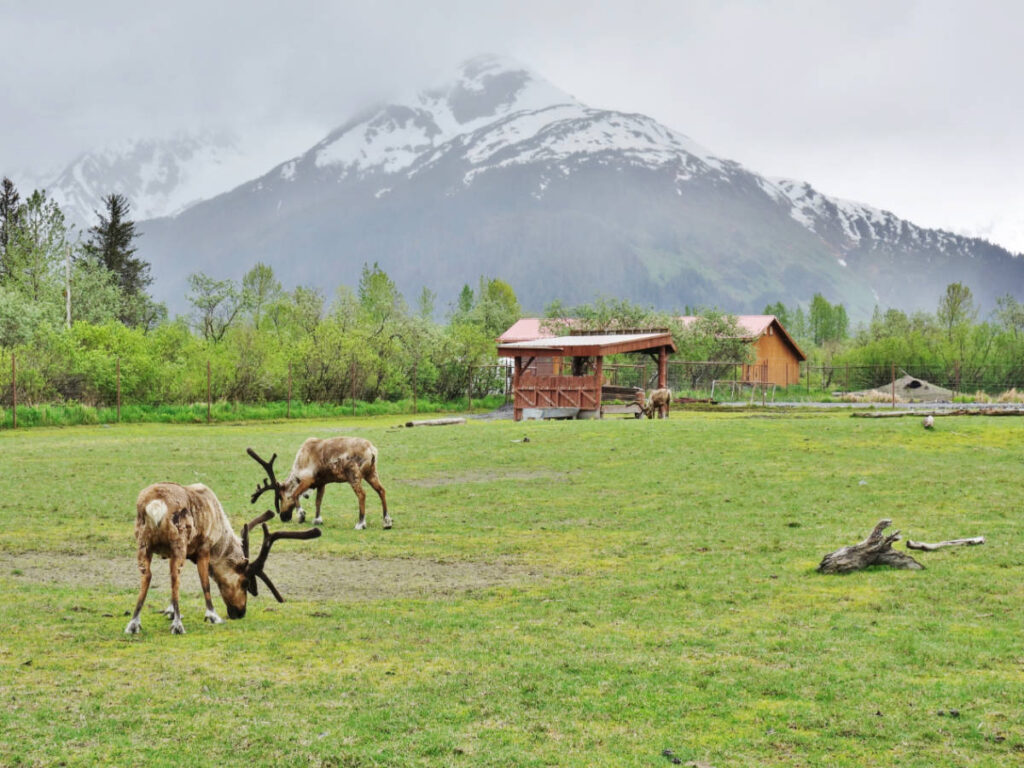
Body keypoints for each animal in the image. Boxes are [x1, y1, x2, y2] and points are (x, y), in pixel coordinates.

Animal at [124, 481, 320, 635]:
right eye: (245, 583)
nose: (240, 613)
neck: (220, 542)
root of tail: (156, 504)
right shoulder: (204, 548)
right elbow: (205, 582)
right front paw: (212, 615)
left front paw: (170, 611)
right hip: (177, 542)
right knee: (174, 576)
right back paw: (178, 625)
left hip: (143, 543)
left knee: (148, 575)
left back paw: (134, 623)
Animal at [248, 438, 391, 530]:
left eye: (281, 497)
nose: (284, 517)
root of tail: (372, 450)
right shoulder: (321, 483)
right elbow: (318, 501)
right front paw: (317, 519)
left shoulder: (307, 479)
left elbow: (295, 494)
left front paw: (301, 515)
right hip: (371, 473)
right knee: (382, 490)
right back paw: (387, 522)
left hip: (354, 474)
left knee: (362, 494)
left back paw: (361, 523)